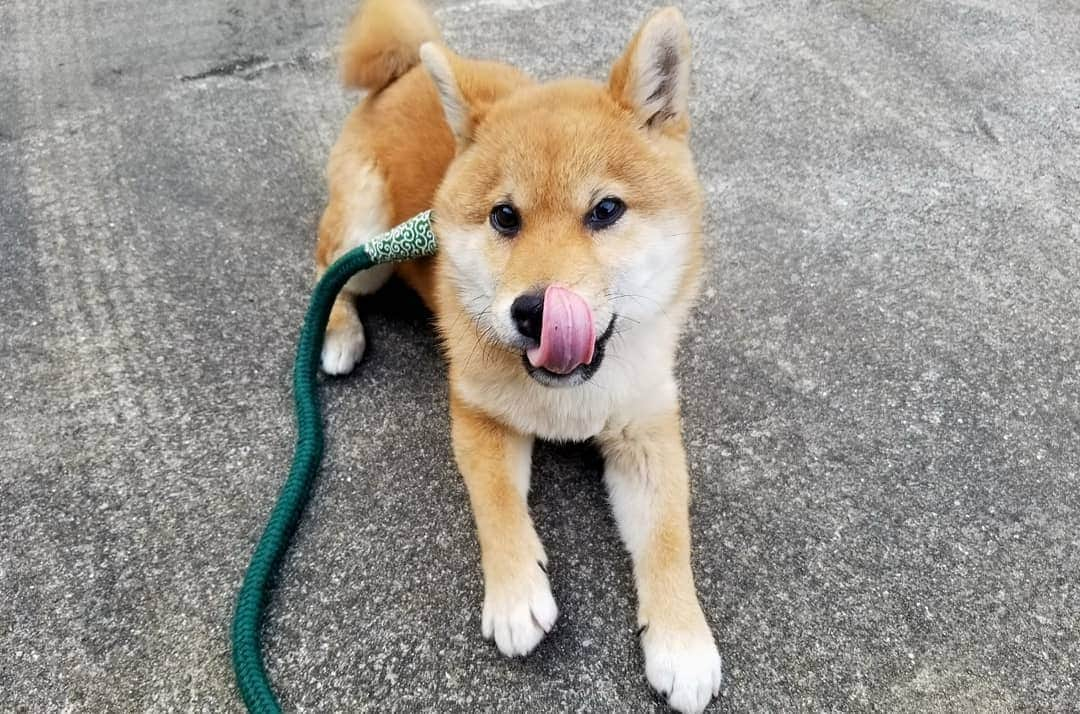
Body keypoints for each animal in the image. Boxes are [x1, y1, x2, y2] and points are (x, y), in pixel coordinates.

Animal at [315, 2, 721, 708]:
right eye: (505, 217)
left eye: (606, 209)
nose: (534, 312)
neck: (573, 396)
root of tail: (400, 76)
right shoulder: (479, 416)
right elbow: (498, 506)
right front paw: (514, 596)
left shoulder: (647, 432)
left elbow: (671, 535)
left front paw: (683, 640)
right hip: (371, 245)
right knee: (324, 267)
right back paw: (337, 333)